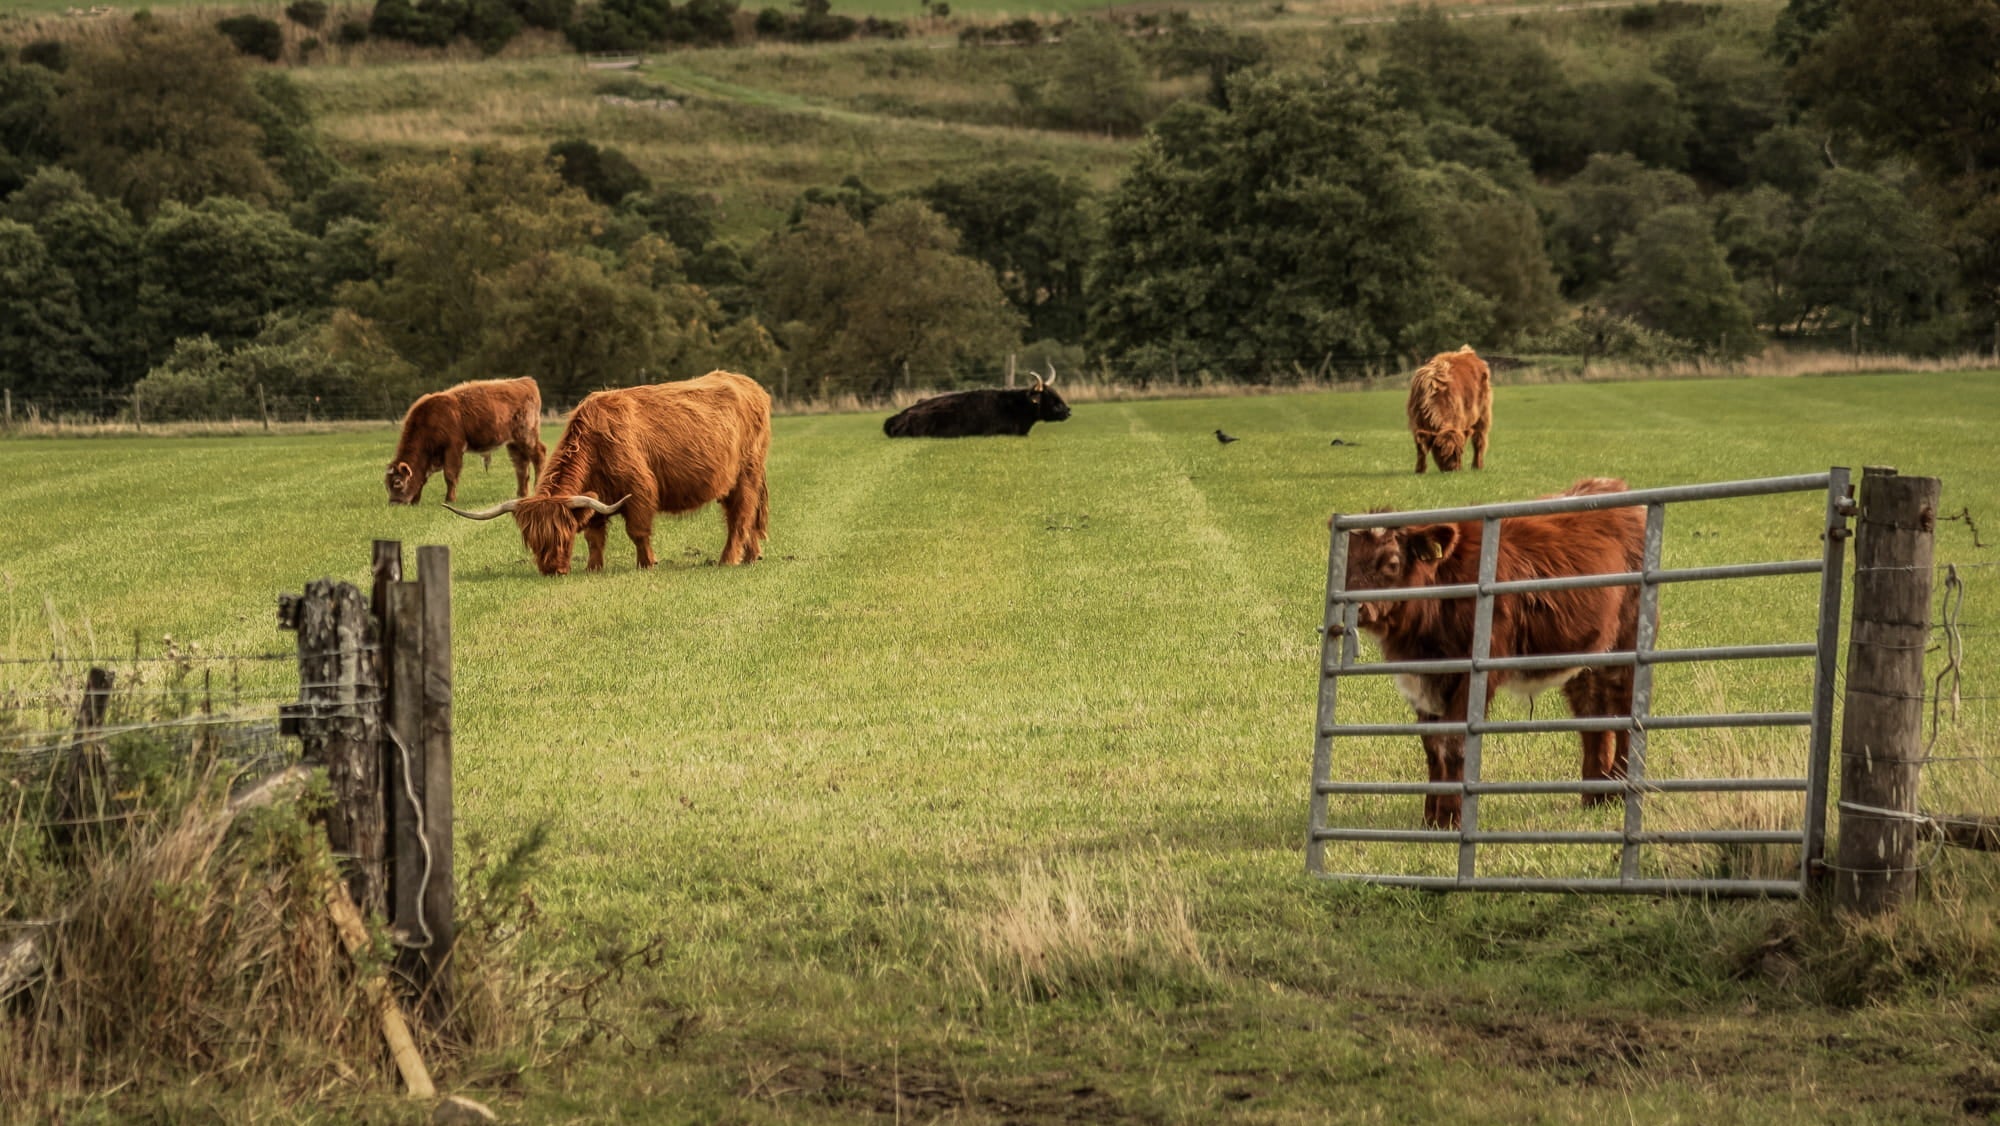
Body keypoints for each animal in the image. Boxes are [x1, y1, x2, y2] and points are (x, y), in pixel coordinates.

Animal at [385, 377, 547, 505]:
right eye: (386, 485)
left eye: (397, 482)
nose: (394, 503)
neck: (428, 420)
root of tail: (525, 382)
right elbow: (423, 478)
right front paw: (416, 501)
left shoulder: (453, 448)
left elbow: (450, 475)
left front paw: (449, 500)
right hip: (514, 442)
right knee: (521, 465)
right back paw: (521, 494)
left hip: (527, 437)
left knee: (539, 455)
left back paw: (537, 488)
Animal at [443, 371, 770, 576]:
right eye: (532, 540)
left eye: (562, 535)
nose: (552, 570)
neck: (596, 447)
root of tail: (752, 386)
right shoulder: (593, 497)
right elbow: (594, 537)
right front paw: (593, 567)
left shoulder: (639, 491)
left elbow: (637, 532)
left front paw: (646, 564)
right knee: (745, 515)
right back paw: (752, 556)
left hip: (746, 474)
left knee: (740, 517)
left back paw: (728, 560)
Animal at [1339, 478, 1645, 828]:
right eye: (1344, 564)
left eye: (1391, 563)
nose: (1357, 609)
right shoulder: (1423, 678)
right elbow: (1432, 744)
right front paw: (1430, 819)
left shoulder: (1476, 674)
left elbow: (1454, 744)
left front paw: (1450, 817)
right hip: (1585, 654)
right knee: (1592, 710)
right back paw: (1596, 796)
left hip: (1628, 640)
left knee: (1625, 704)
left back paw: (1620, 788)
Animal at [1406, 345, 1492, 474]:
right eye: (1442, 452)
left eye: (1460, 452)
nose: (1454, 470)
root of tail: (1468, 352)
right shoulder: (1416, 423)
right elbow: (1421, 448)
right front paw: (1420, 470)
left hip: (1483, 415)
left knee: (1479, 440)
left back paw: (1477, 466)